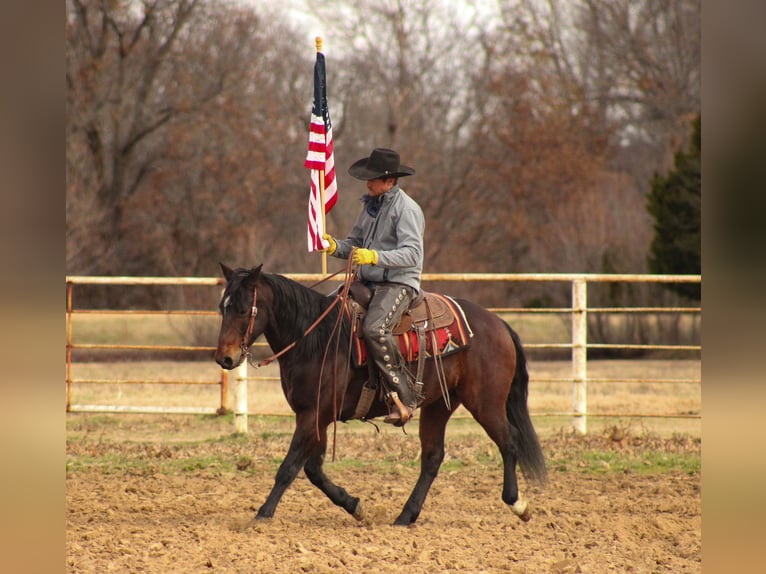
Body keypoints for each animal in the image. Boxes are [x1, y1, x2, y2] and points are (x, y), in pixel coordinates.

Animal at [214, 263, 547, 526]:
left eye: (243, 309)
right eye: (222, 308)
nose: (225, 358)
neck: (315, 340)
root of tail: (499, 324)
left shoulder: (313, 415)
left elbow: (289, 467)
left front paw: (262, 514)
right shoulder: (316, 416)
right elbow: (312, 469)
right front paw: (355, 506)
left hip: (485, 402)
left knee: (509, 441)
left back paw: (518, 504)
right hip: (439, 404)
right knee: (433, 457)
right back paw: (405, 516)